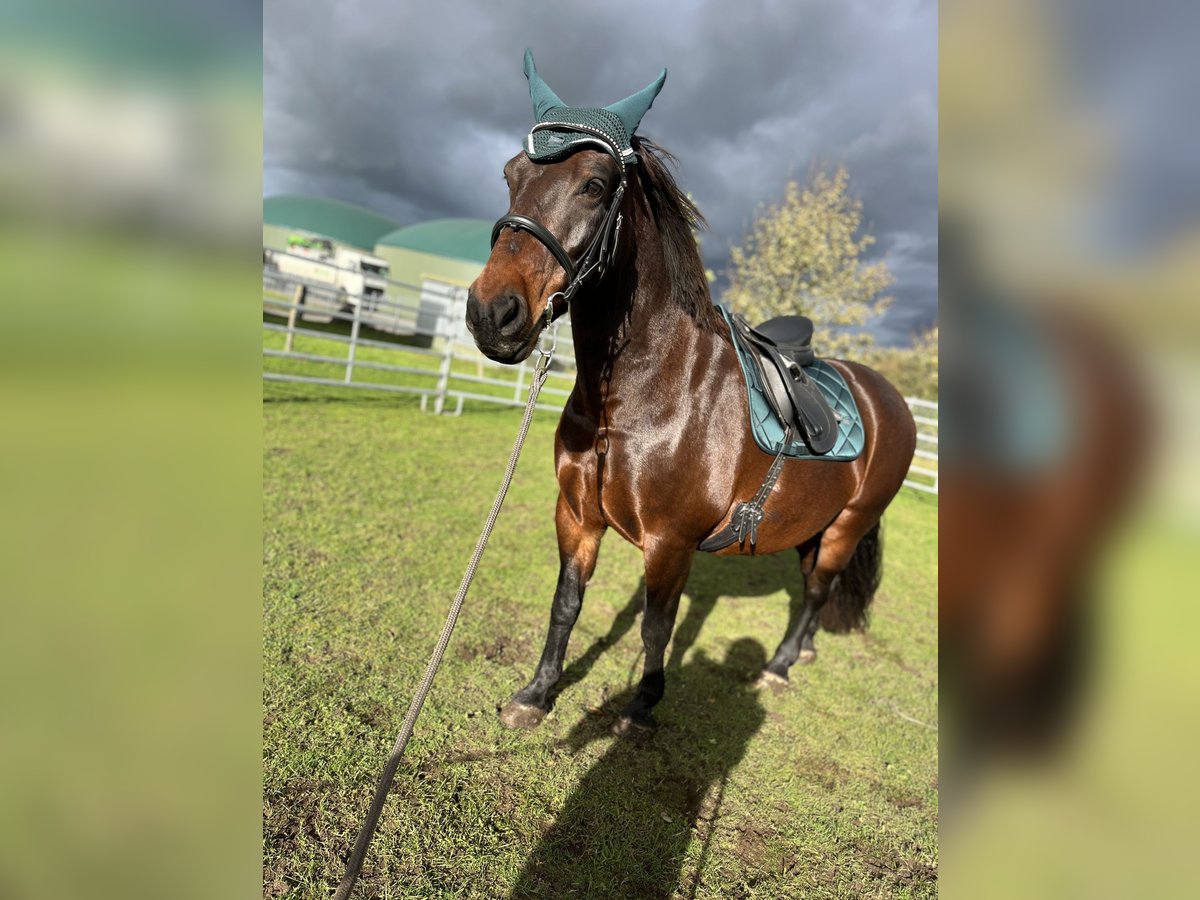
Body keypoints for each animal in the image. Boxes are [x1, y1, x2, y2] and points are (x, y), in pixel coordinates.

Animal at [463, 63, 912, 734]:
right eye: (512, 174)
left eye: (594, 185)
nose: (492, 314)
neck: (638, 402)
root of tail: (890, 398)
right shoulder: (575, 517)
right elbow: (566, 604)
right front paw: (537, 694)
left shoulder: (670, 543)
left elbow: (656, 628)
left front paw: (642, 707)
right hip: (821, 521)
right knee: (818, 585)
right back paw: (803, 651)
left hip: (850, 523)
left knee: (816, 590)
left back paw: (780, 665)